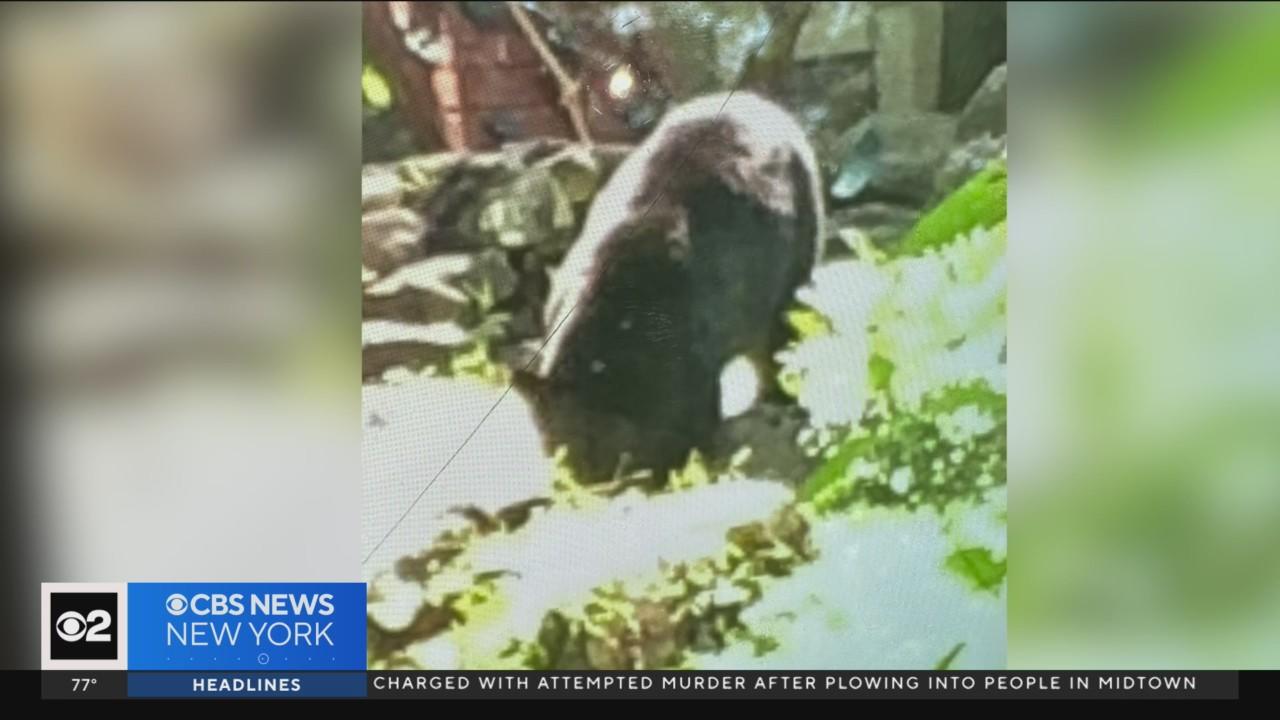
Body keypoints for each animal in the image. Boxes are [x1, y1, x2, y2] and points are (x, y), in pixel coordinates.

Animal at [514, 91, 825, 485]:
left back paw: (778, 401)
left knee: (779, 344)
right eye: (558, 456)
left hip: (789, 284)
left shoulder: (691, 377)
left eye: (594, 456)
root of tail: (755, 98)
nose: (586, 485)